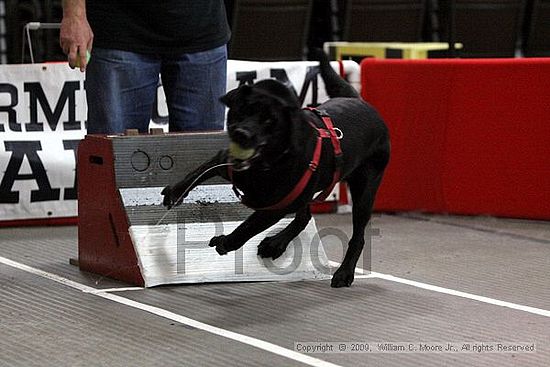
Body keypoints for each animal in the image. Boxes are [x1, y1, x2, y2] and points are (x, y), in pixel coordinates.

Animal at [162, 53, 390, 288]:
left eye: (269, 120)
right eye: (242, 110)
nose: (242, 133)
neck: (265, 164)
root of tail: (363, 103)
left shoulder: (277, 205)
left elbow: (248, 226)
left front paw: (225, 242)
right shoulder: (224, 161)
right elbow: (196, 173)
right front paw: (174, 193)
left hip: (364, 189)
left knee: (358, 235)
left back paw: (344, 273)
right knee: (304, 216)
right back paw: (276, 244)